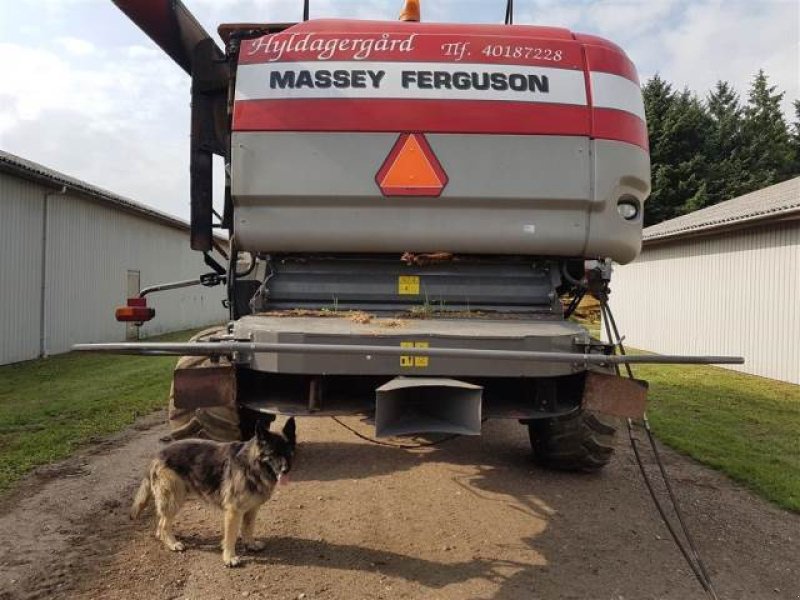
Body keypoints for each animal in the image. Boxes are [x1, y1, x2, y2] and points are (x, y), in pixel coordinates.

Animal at [131, 418, 296, 568]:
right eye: (273, 453)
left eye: (288, 452)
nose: (286, 470)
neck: (251, 466)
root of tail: (158, 454)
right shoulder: (233, 512)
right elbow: (231, 537)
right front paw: (229, 557)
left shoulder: (251, 510)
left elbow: (248, 528)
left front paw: (250, 544)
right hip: (174, 498)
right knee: (163, 524)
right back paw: (172, 543)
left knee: (161, 524)